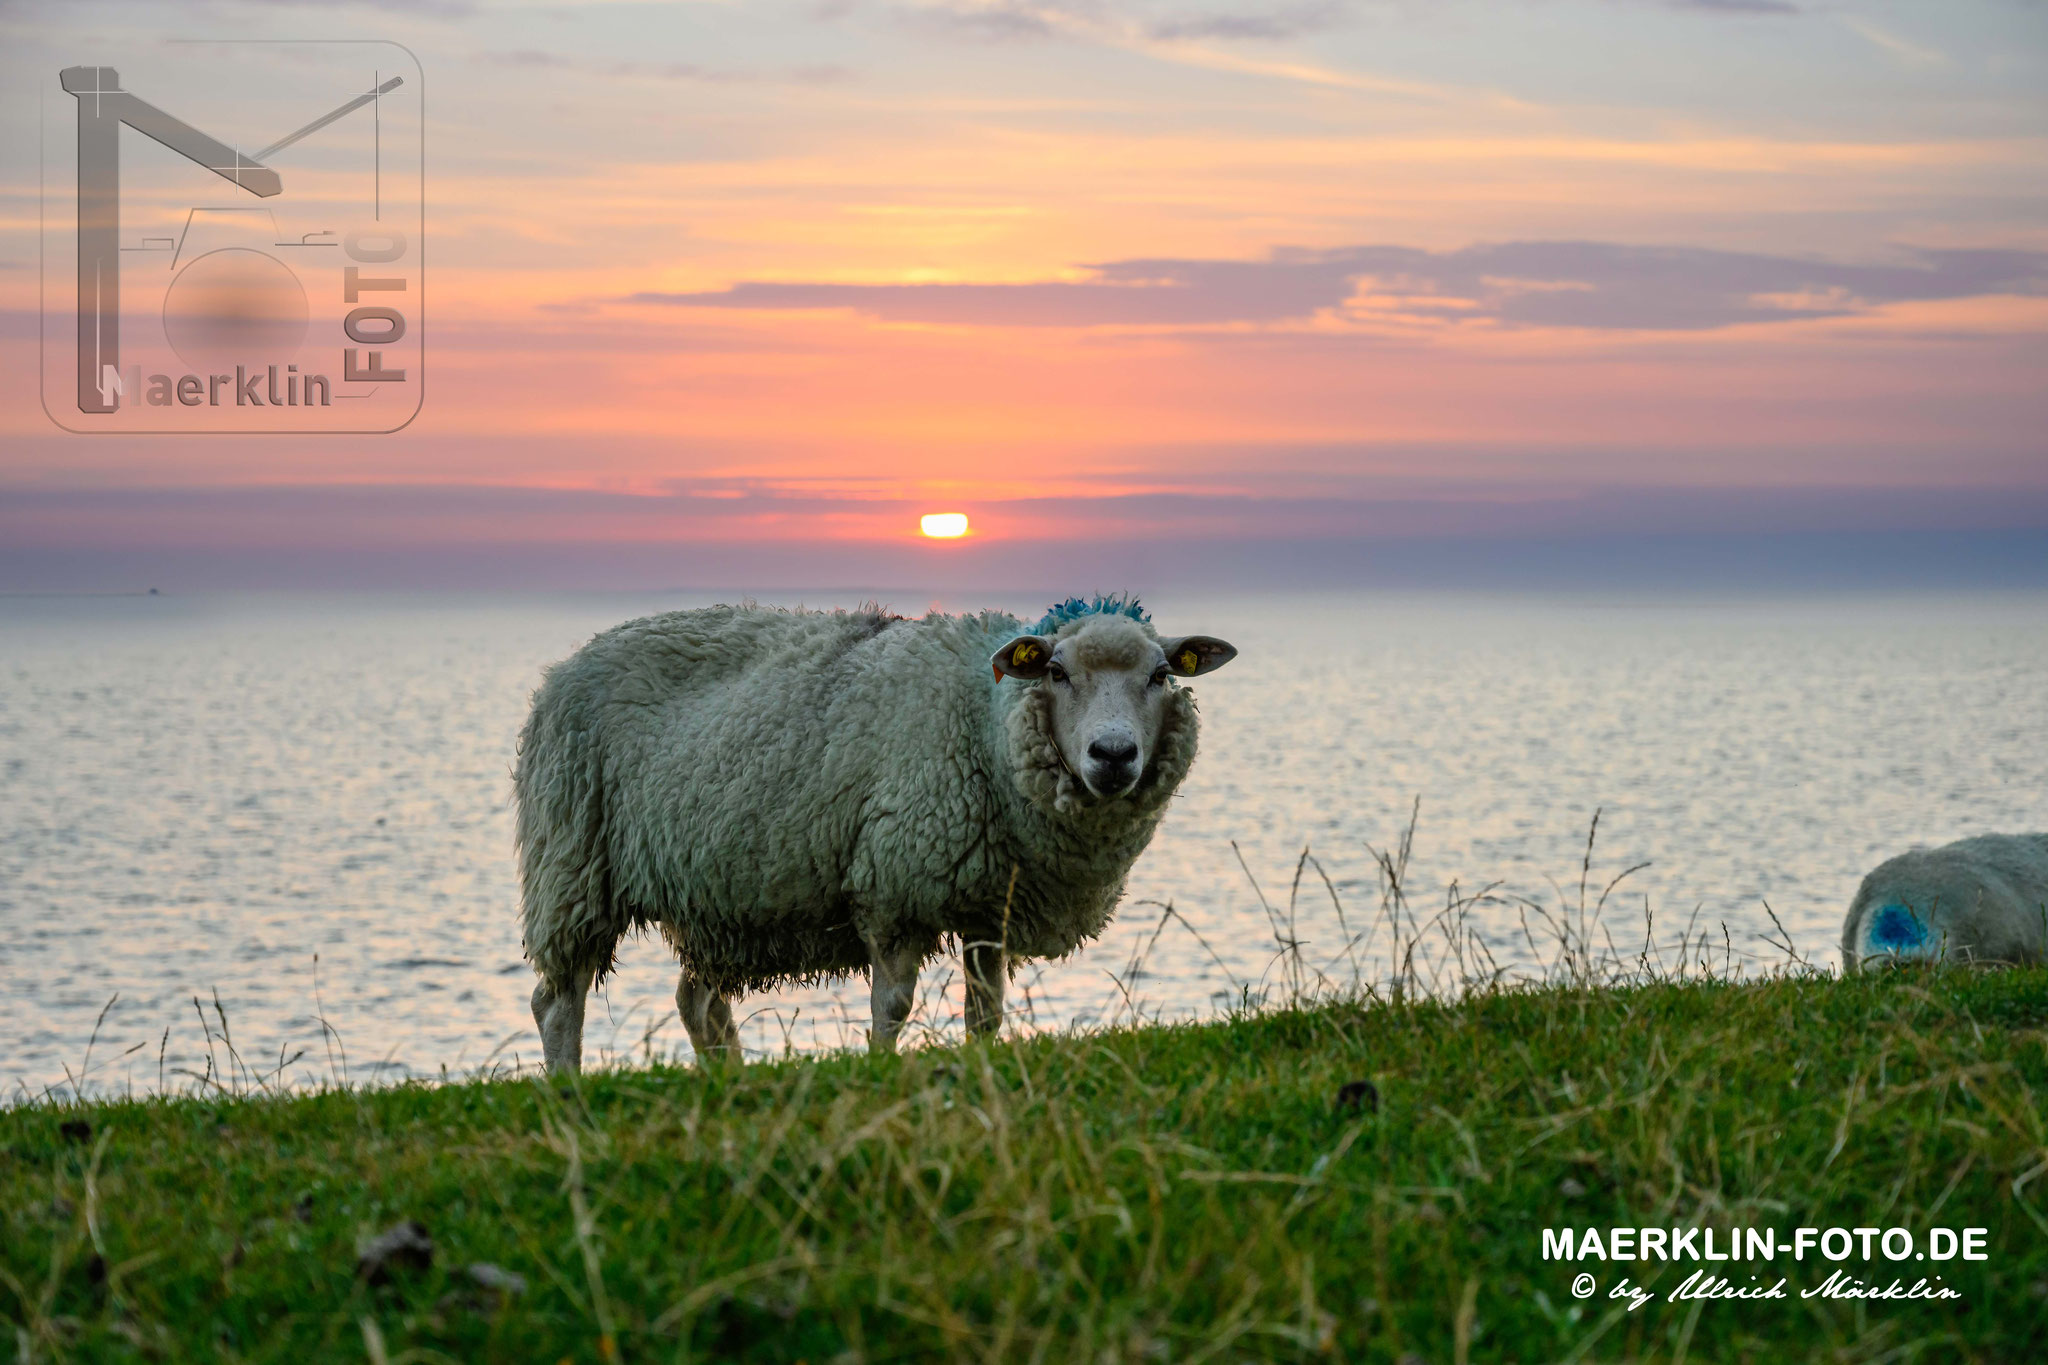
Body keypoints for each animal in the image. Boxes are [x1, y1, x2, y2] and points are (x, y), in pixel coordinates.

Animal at [514, 595, 1238, 1072]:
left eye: (1161, 675)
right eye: (1057, 672)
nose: (1112, 755)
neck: (984, 719)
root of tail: (564, 667)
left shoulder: (989, 902)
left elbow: (986, 1009)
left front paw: (982, 1067)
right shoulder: (895, 883)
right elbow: (891, 1003)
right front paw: (881, 1071)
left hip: (719, 894)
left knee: (699, 1003)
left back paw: (730, 1082)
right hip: (571, 855)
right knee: (557, 1000)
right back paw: (568, 1090)